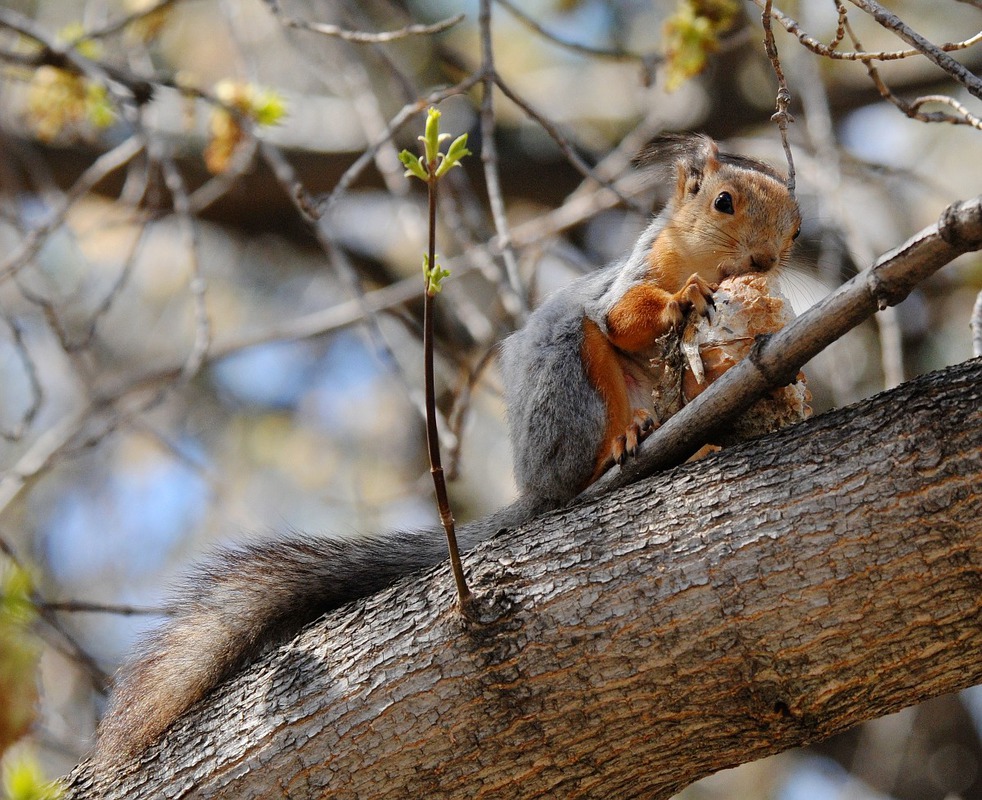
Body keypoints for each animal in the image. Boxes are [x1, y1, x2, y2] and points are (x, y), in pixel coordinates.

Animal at [92, 134, 804, 764]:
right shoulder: (634, 273)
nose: (766, 261)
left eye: (796, 230)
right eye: (723, 202)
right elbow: (622, 317)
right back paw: (617, 444)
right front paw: (682, 299)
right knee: (581, 402)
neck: (700, 261)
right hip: (565, 383)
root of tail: (532, 484)